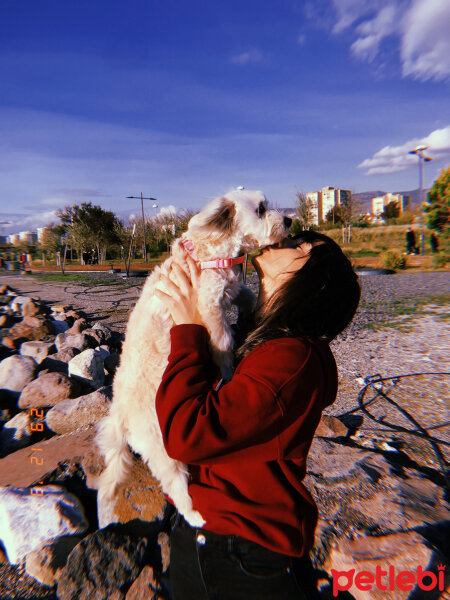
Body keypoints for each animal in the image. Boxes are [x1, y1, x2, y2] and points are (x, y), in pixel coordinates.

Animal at [96, 190, 290, 528]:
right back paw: (195, 515)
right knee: (175, 483)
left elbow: (248, 296)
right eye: (261, 210)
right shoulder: (209, 308)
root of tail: (120, 415)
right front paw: (228, 370)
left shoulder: (231, 288)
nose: (290, 220)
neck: (212, 250)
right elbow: (223, 343)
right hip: (163, 448)